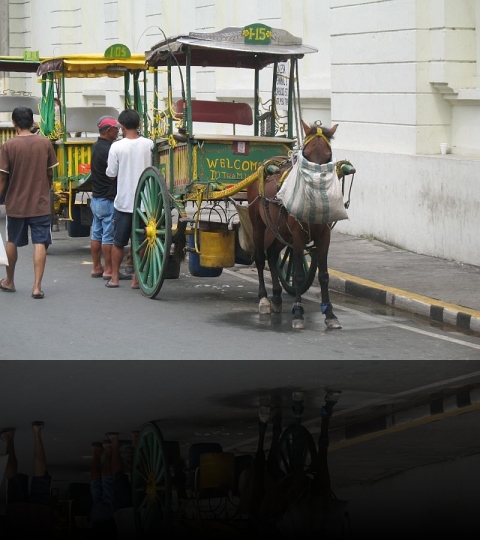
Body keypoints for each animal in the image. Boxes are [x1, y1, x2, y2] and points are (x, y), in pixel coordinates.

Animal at [248, 119, 344, 330]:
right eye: (306, 154)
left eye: (329, 155)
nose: (317, 184)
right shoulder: (299, 236)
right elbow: (299, 274)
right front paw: (298, 313)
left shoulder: (324, 236)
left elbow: (324, 275)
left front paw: (330, 313)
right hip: (258, 224)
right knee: (260, 257)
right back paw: (264, 299)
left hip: (281, 231)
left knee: (272, 254)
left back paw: (276, 297)